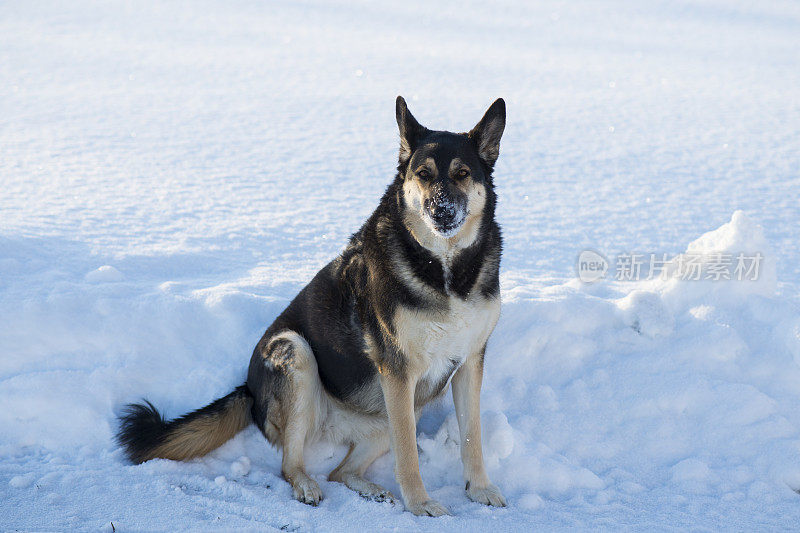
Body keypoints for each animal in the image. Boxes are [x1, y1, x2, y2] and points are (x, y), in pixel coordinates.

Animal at [119, 95, 506, 516]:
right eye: (423, 174)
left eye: (462, 174)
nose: (441, 211)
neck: (446, 268)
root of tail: (249, 389)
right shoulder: (397, 371)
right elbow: (408, 457)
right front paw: (420, 505)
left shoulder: (469, 362)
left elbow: (472, 438)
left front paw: (479, 489)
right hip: (298, 354)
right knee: (291, 464)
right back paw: (306, 485)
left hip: (399, 411)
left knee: (340, 470)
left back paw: (370, 489)